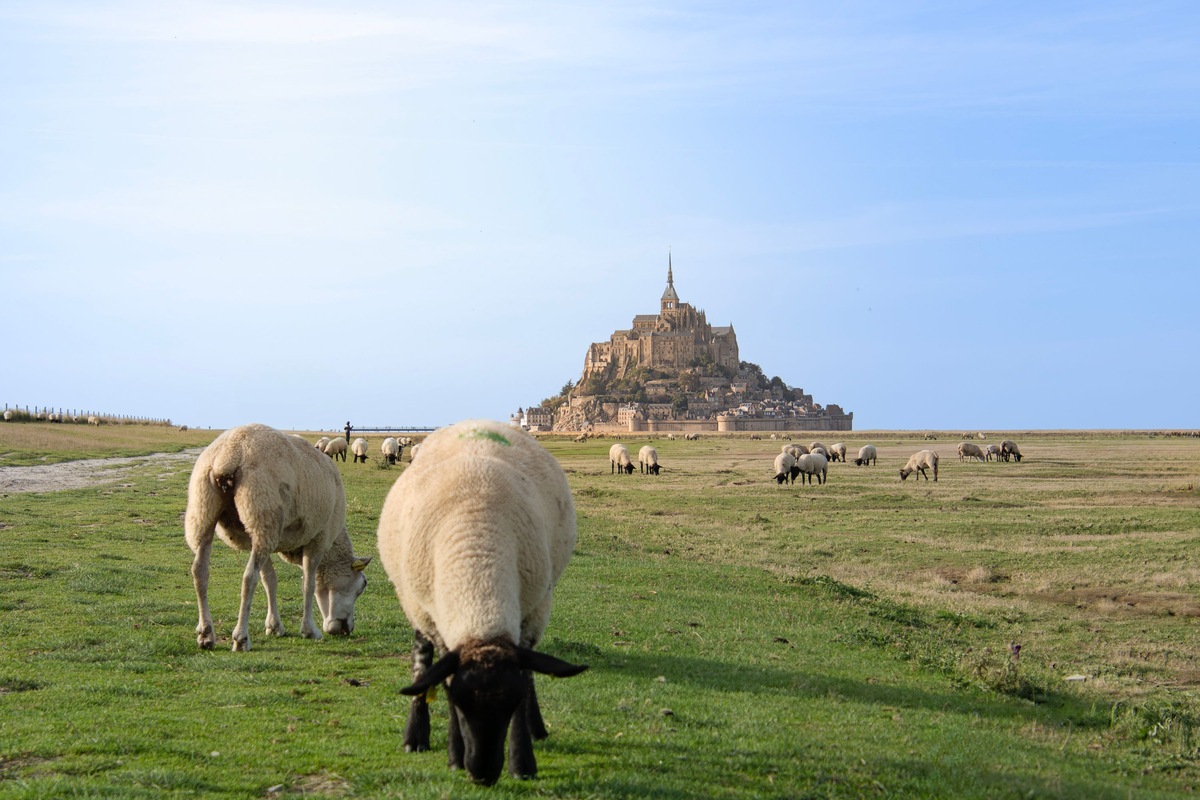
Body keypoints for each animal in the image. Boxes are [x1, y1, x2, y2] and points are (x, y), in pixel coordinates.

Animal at [184, 423, 371, 652]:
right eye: (362, 585)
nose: (346, 629)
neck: (332, 550)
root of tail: (228, 454)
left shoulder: (256, 540)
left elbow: (270, 580)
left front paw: (274, 626)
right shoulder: (318, 539)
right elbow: (308, 584)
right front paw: (309, 630)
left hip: (209, 512)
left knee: (199, 571)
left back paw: (206, 634)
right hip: (263, 514)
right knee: (248, 577)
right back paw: (241, 638)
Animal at [376, 420, 588, 785]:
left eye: (510, 704)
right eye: (459, 704)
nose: (483, 775)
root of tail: (476, 422)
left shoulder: (532, 614)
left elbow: (527, 677)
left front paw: (522, 761)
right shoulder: (441, 625)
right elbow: (438, 673)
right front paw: (454, 756)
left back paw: (537, 729)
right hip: (416, 604)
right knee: (422, 660)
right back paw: (415, 736)